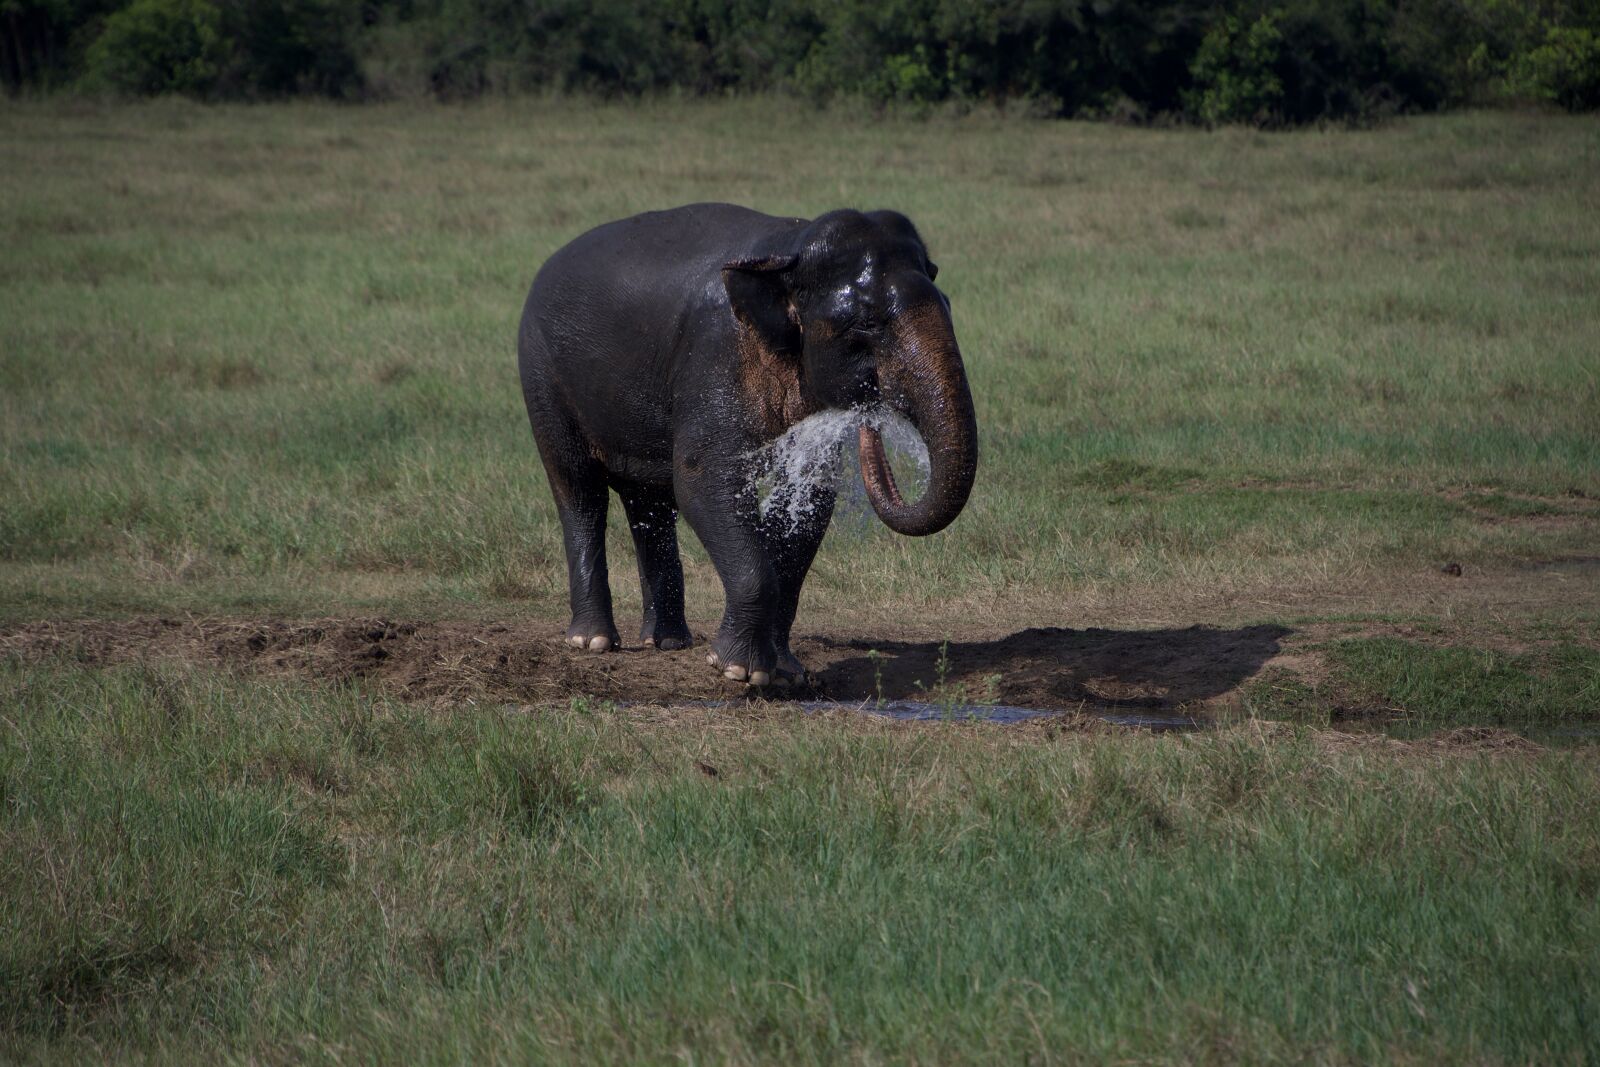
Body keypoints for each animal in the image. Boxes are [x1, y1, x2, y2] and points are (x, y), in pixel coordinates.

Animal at [517, 202, 978, 687]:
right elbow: (701, 478)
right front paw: (739, 672)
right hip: (541, 376)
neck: (788, 251)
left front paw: (786, 673)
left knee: (651, 501)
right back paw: (592, 642)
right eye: (868, 323)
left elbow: (808, 501)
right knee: (579, 488)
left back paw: (668, 642)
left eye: (948, 304)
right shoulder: (713, 356)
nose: (871, 414)